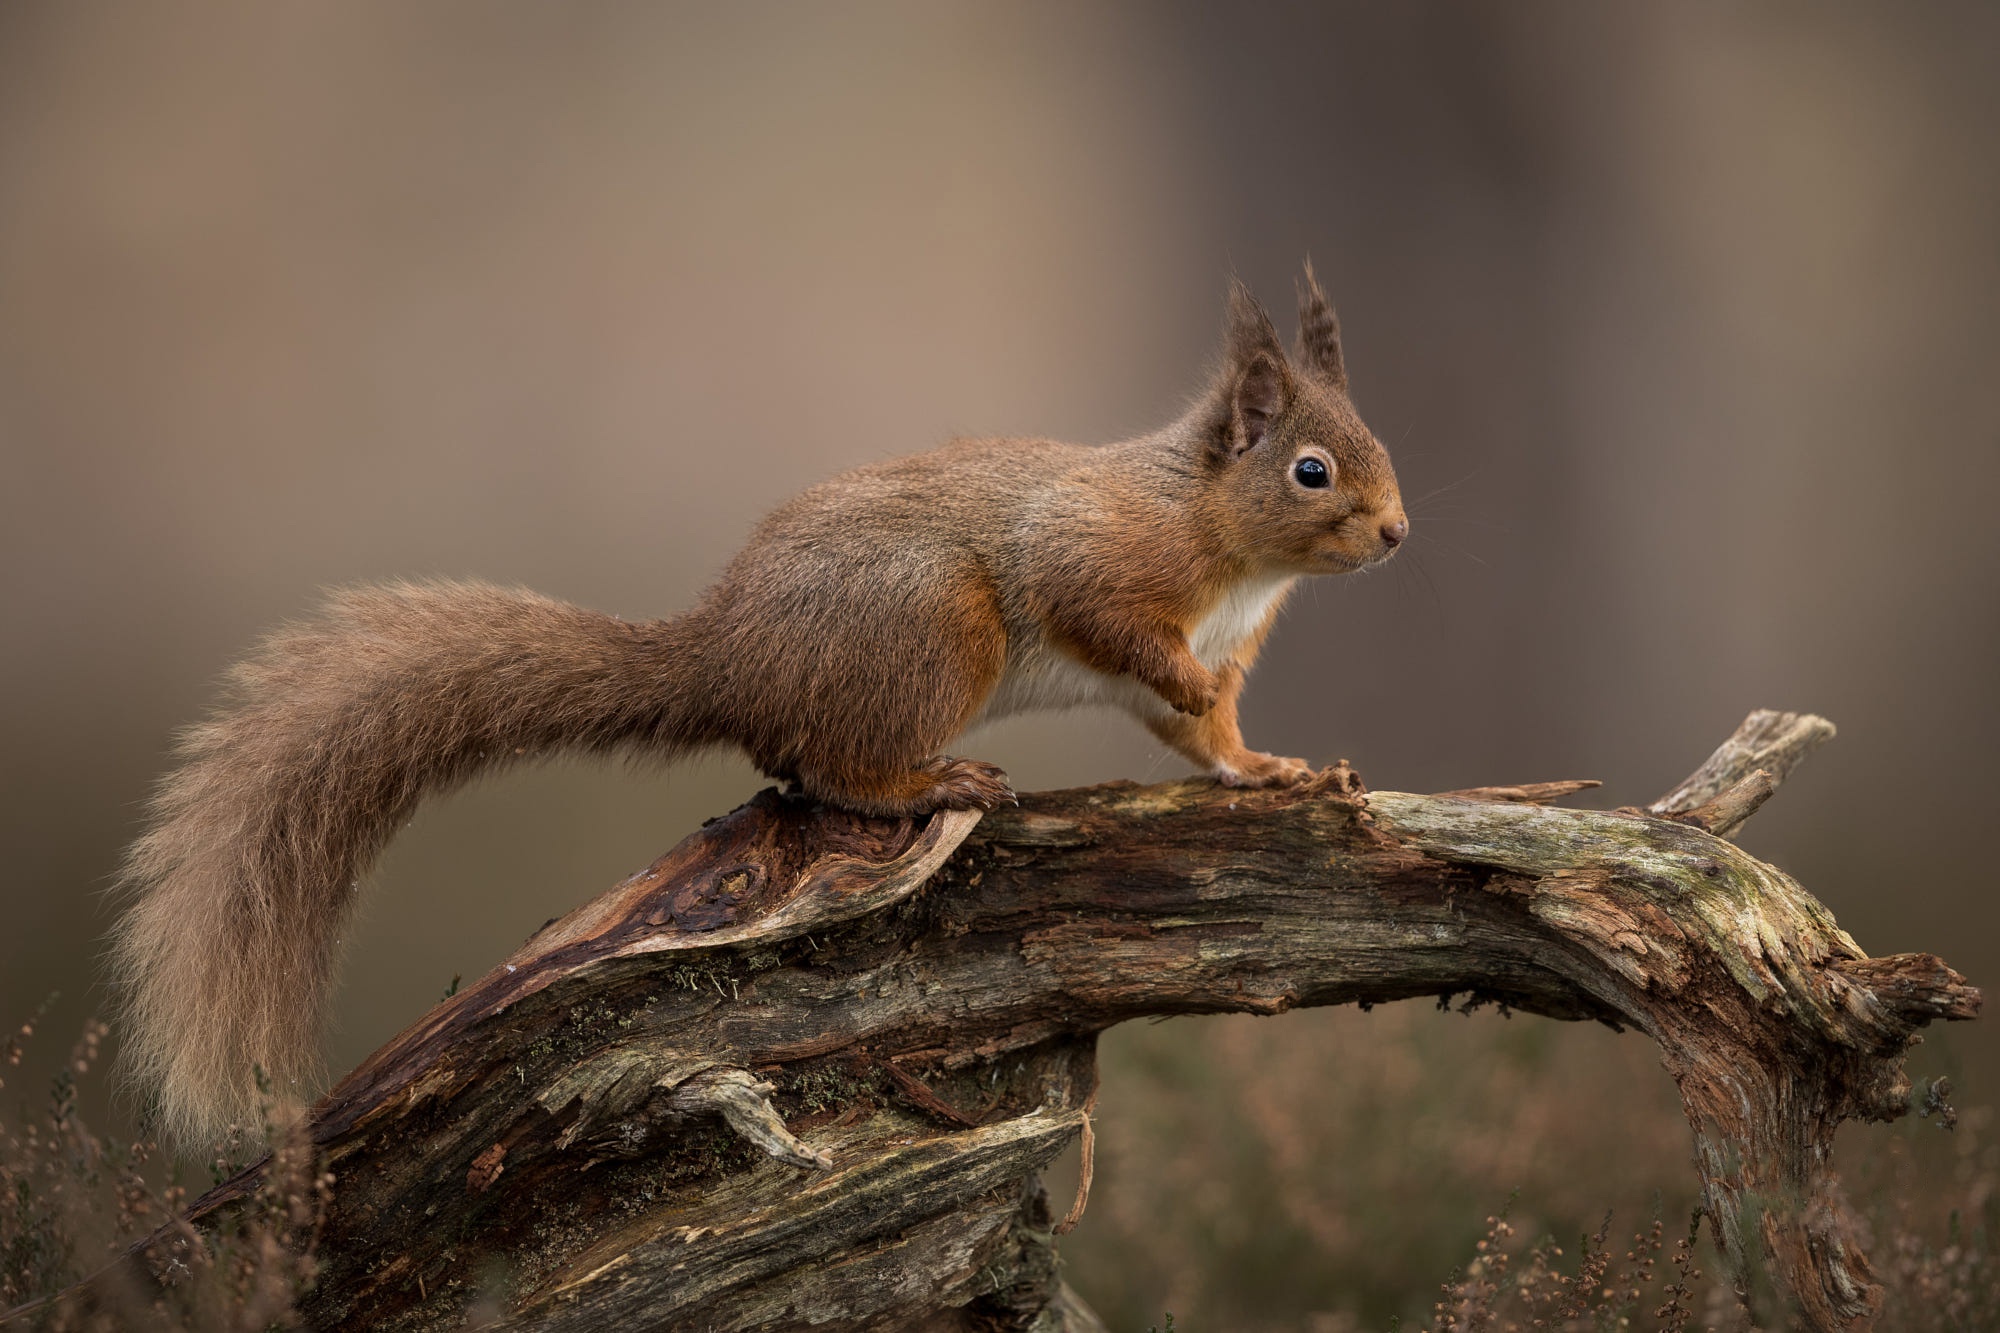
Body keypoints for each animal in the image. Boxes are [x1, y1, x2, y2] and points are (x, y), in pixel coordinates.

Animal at [105, 262, 1408, 1144]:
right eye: (1309, 470)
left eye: (1378, 446)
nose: (1399, 532)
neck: (1225, 547)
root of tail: (729, 657)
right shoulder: (1095, 562)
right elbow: (1110, 624)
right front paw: (1187, 680)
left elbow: (1206, 735)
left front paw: (1272, 769)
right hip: (938, 626)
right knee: (833, 771)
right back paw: (932, 779)